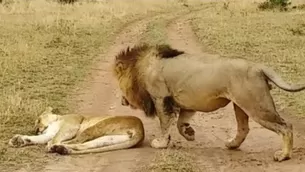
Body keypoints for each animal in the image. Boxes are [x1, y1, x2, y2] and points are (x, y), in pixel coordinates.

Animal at [8, 106, 144, 155]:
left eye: (39, 120)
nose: (36, 130)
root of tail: (141, 130)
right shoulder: (49, 133)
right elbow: (40, 138)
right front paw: (19, 140)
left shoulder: (70, 126)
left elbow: (55, 137)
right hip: (108, 138)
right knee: (82, 145)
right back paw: (62, 149)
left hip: (97, 126)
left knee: (75, 141)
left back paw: (56, 147)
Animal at [112, 42, 304, 161]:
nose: (121, 101)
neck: (141, 67)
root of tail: (257, 66)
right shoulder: (185, 101)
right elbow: (180, 123)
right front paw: (189, 133)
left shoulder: (160, 98)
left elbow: (165, 124)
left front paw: (161, 143)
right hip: (241, 104)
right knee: (244, 128)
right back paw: (232, 144)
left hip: (256, 105)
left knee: (286, 127)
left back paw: (283, 155)